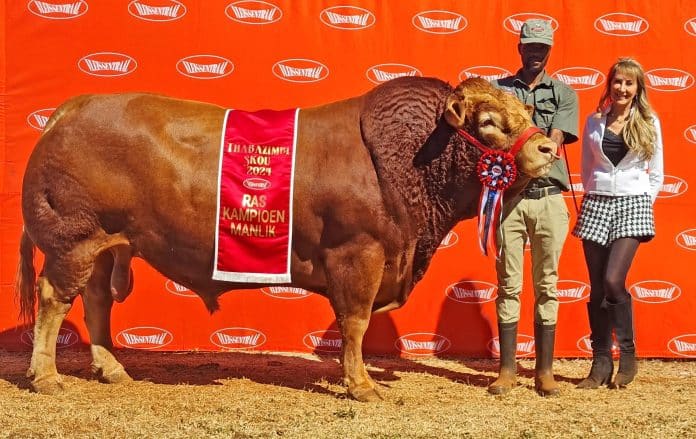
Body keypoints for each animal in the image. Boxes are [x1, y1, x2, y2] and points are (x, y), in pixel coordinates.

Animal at [16, 76, 556, 402]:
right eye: (487, 122)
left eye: (524, 112)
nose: (549, 148)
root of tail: (73, 109)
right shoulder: (359, 254)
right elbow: (356, 323)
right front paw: (361, 385)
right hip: (72, 241)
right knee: (53, 299)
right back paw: (46, 376)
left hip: (107, 245)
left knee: (95, 301)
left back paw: (112, 369)